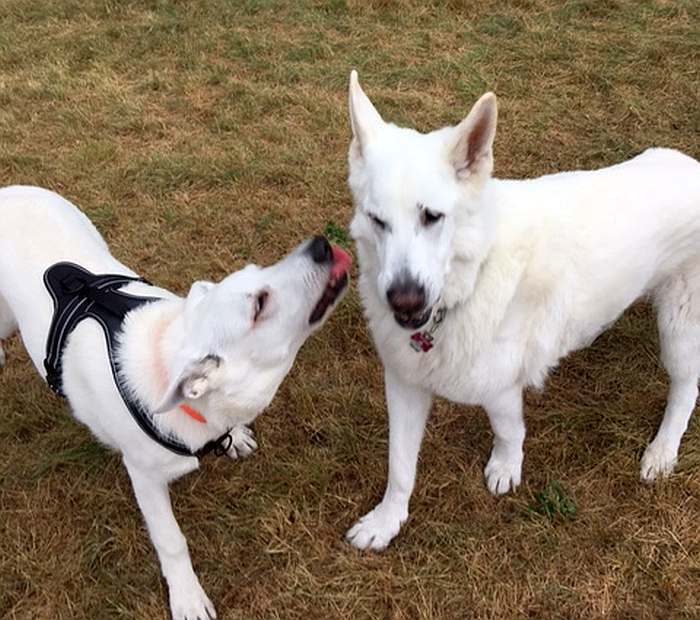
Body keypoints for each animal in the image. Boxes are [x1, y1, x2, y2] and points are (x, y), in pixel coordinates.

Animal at [0, 185, 350, 620]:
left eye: (260, 268)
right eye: (259, 305)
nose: (320, 245)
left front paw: (236, 437)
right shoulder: (144, 477)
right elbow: (172, 540)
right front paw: (187, 596)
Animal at [344, 70, 700, 548]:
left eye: (432, 217)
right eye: (377, 220)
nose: (405, 299)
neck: (469, 281)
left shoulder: (500, 388)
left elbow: (509, 431)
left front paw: (505, 468)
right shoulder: (404, 383)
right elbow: (399, 466)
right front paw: (387, 521)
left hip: (680, 330)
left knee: (685, 390)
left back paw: (662, 452)